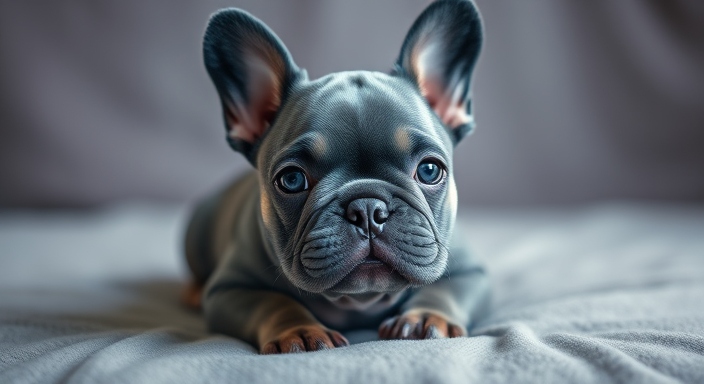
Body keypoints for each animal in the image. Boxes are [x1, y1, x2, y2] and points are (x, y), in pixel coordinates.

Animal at [182, 0, 490, 354]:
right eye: (292, 180)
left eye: (429, 170)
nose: (368, 208)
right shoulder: (228, 289)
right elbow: (272, 302)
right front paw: (300, 331)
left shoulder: (471, 272)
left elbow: (445, 290)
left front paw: (427, 317)